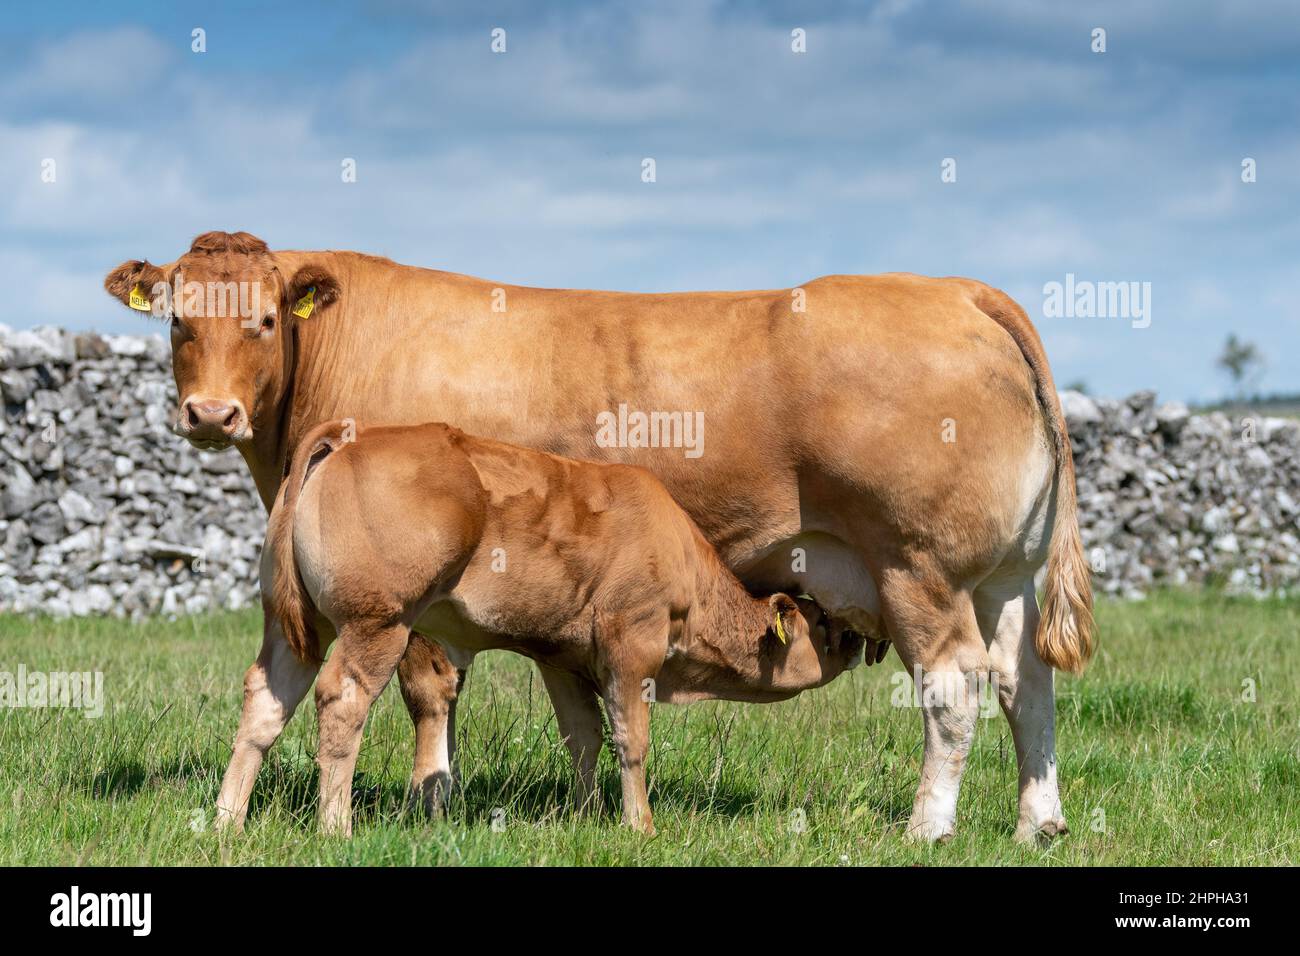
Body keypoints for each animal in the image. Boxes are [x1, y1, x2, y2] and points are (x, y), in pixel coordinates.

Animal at [226, 421, 863, 832]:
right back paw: (336, 828)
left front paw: (585, 818)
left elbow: (583, 737)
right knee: (342, 700)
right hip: (378, 620)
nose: (861, 640)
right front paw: (639, 825)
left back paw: (228, 821)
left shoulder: (563, 657)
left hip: (292, 627)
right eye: (821, 620)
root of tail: (349, 437)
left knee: (266, 699)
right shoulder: (632, 641)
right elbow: (631, 738)